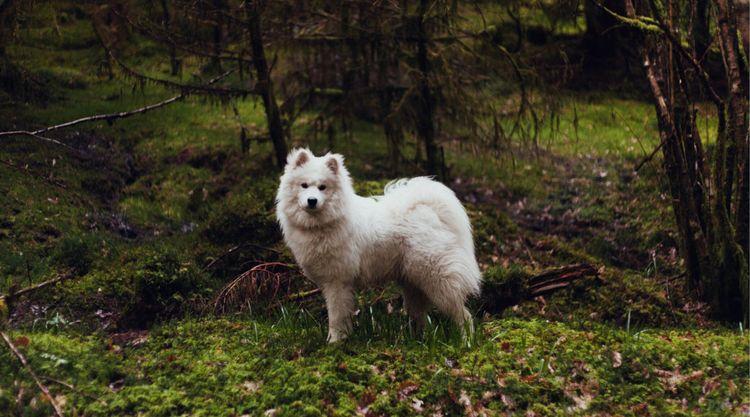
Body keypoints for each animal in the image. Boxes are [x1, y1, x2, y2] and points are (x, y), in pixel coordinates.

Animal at [276, 149, 482, 342]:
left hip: (437, 279)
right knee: (420, 316)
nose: (312, 201)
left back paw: (466, 341)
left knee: (463, 314)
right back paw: (417, 340)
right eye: (304, 185)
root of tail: (430, 211)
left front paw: (334, 342)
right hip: (413, 283)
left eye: (322, 187)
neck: (324, 223)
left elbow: (336, 317)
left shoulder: (337, 282)